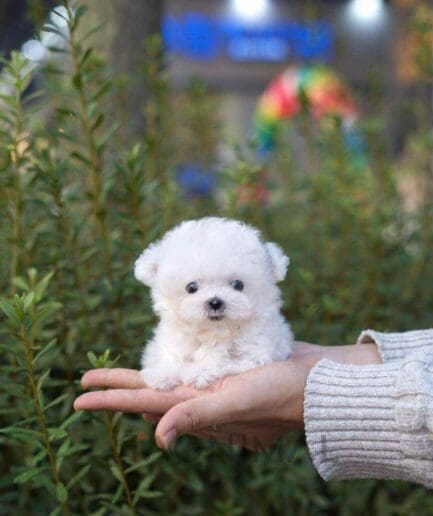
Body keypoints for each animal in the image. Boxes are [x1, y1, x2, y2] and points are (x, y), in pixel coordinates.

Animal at [133, 216, 292, 390]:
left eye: (238, 285)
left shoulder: (255, 354)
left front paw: (199, 372)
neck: (214, 332)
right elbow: (172, 356)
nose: (215, 302)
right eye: (191, 287)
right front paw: (162, 374)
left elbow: (223, 361)